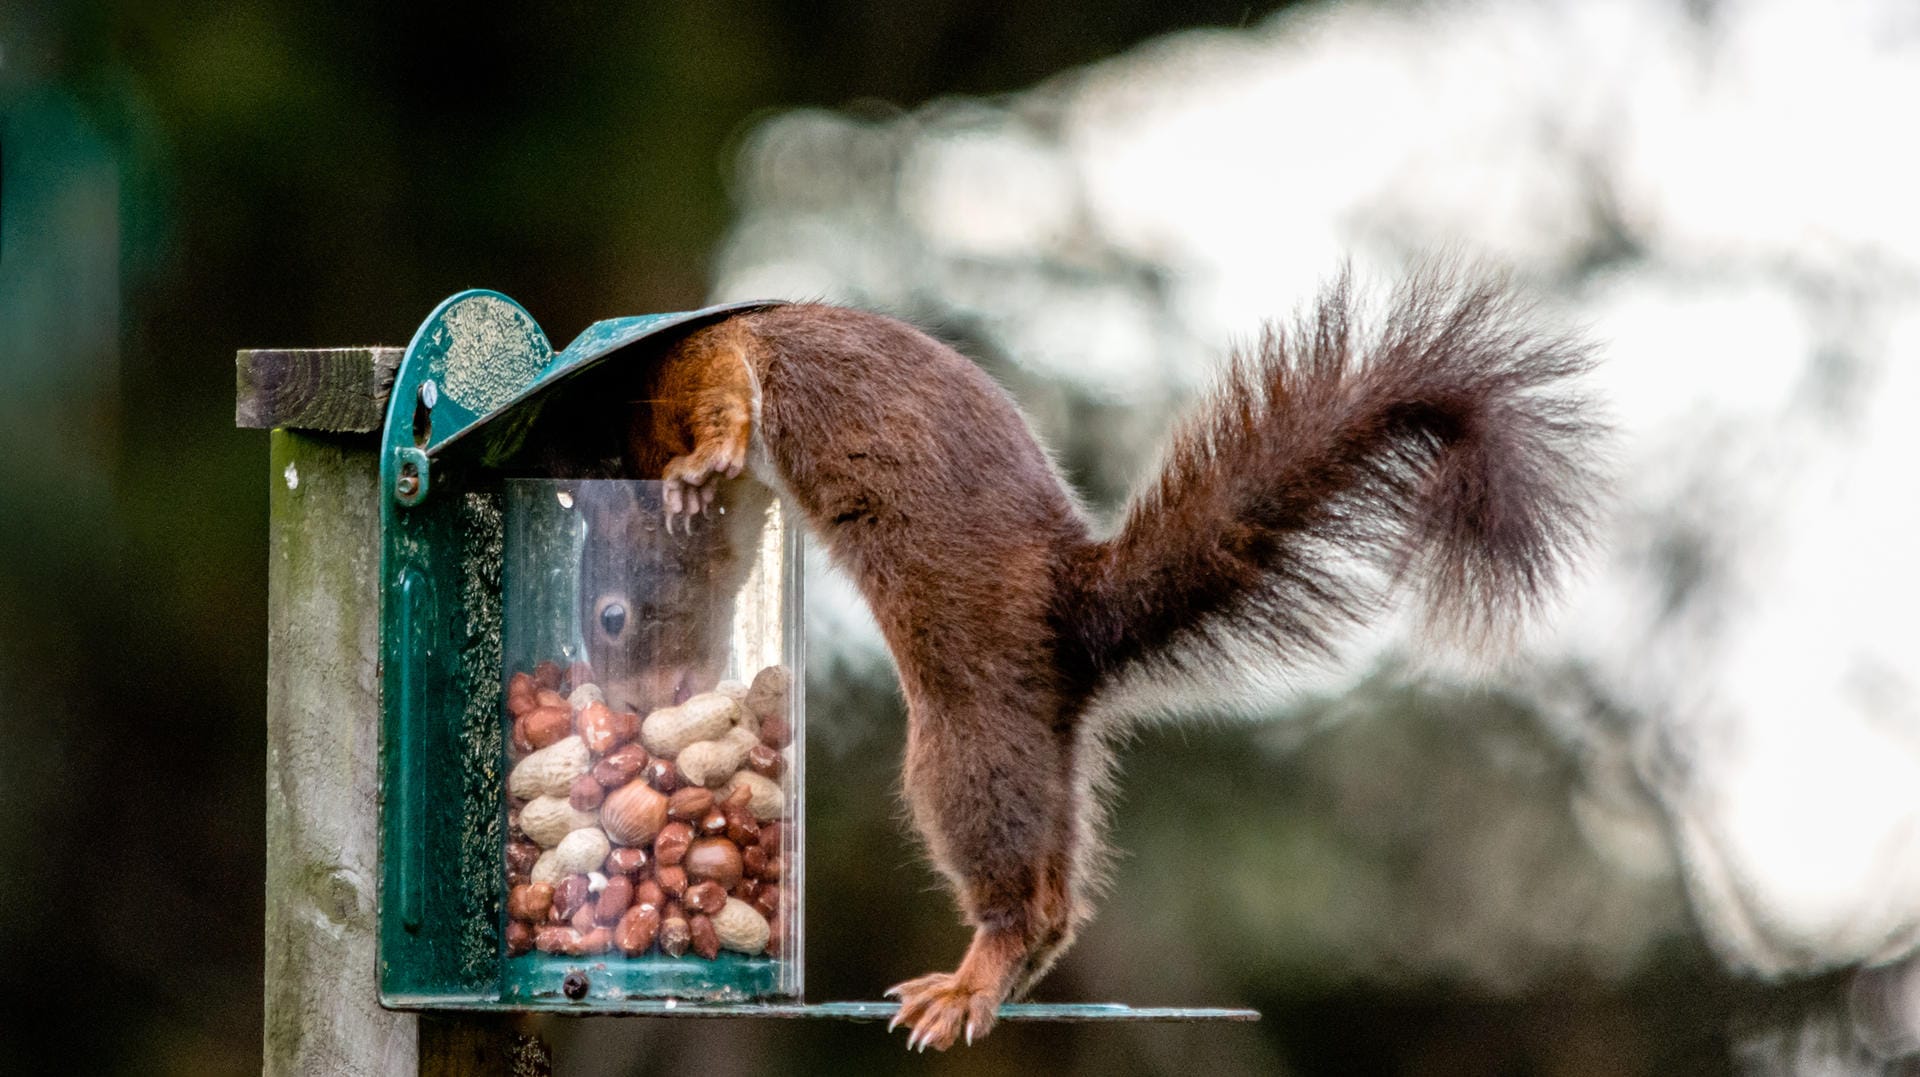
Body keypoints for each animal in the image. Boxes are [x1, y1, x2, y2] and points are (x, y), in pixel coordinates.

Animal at [622, 268, 1597, 1052]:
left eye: (631, 609)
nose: (649, 685)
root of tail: (1077, 616)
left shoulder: (708, 358)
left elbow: (725, 403)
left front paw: (699, 471)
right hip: (1045, 749)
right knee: (1057, 897)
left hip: (967, 735)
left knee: (1016, 888)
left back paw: (972, 978)